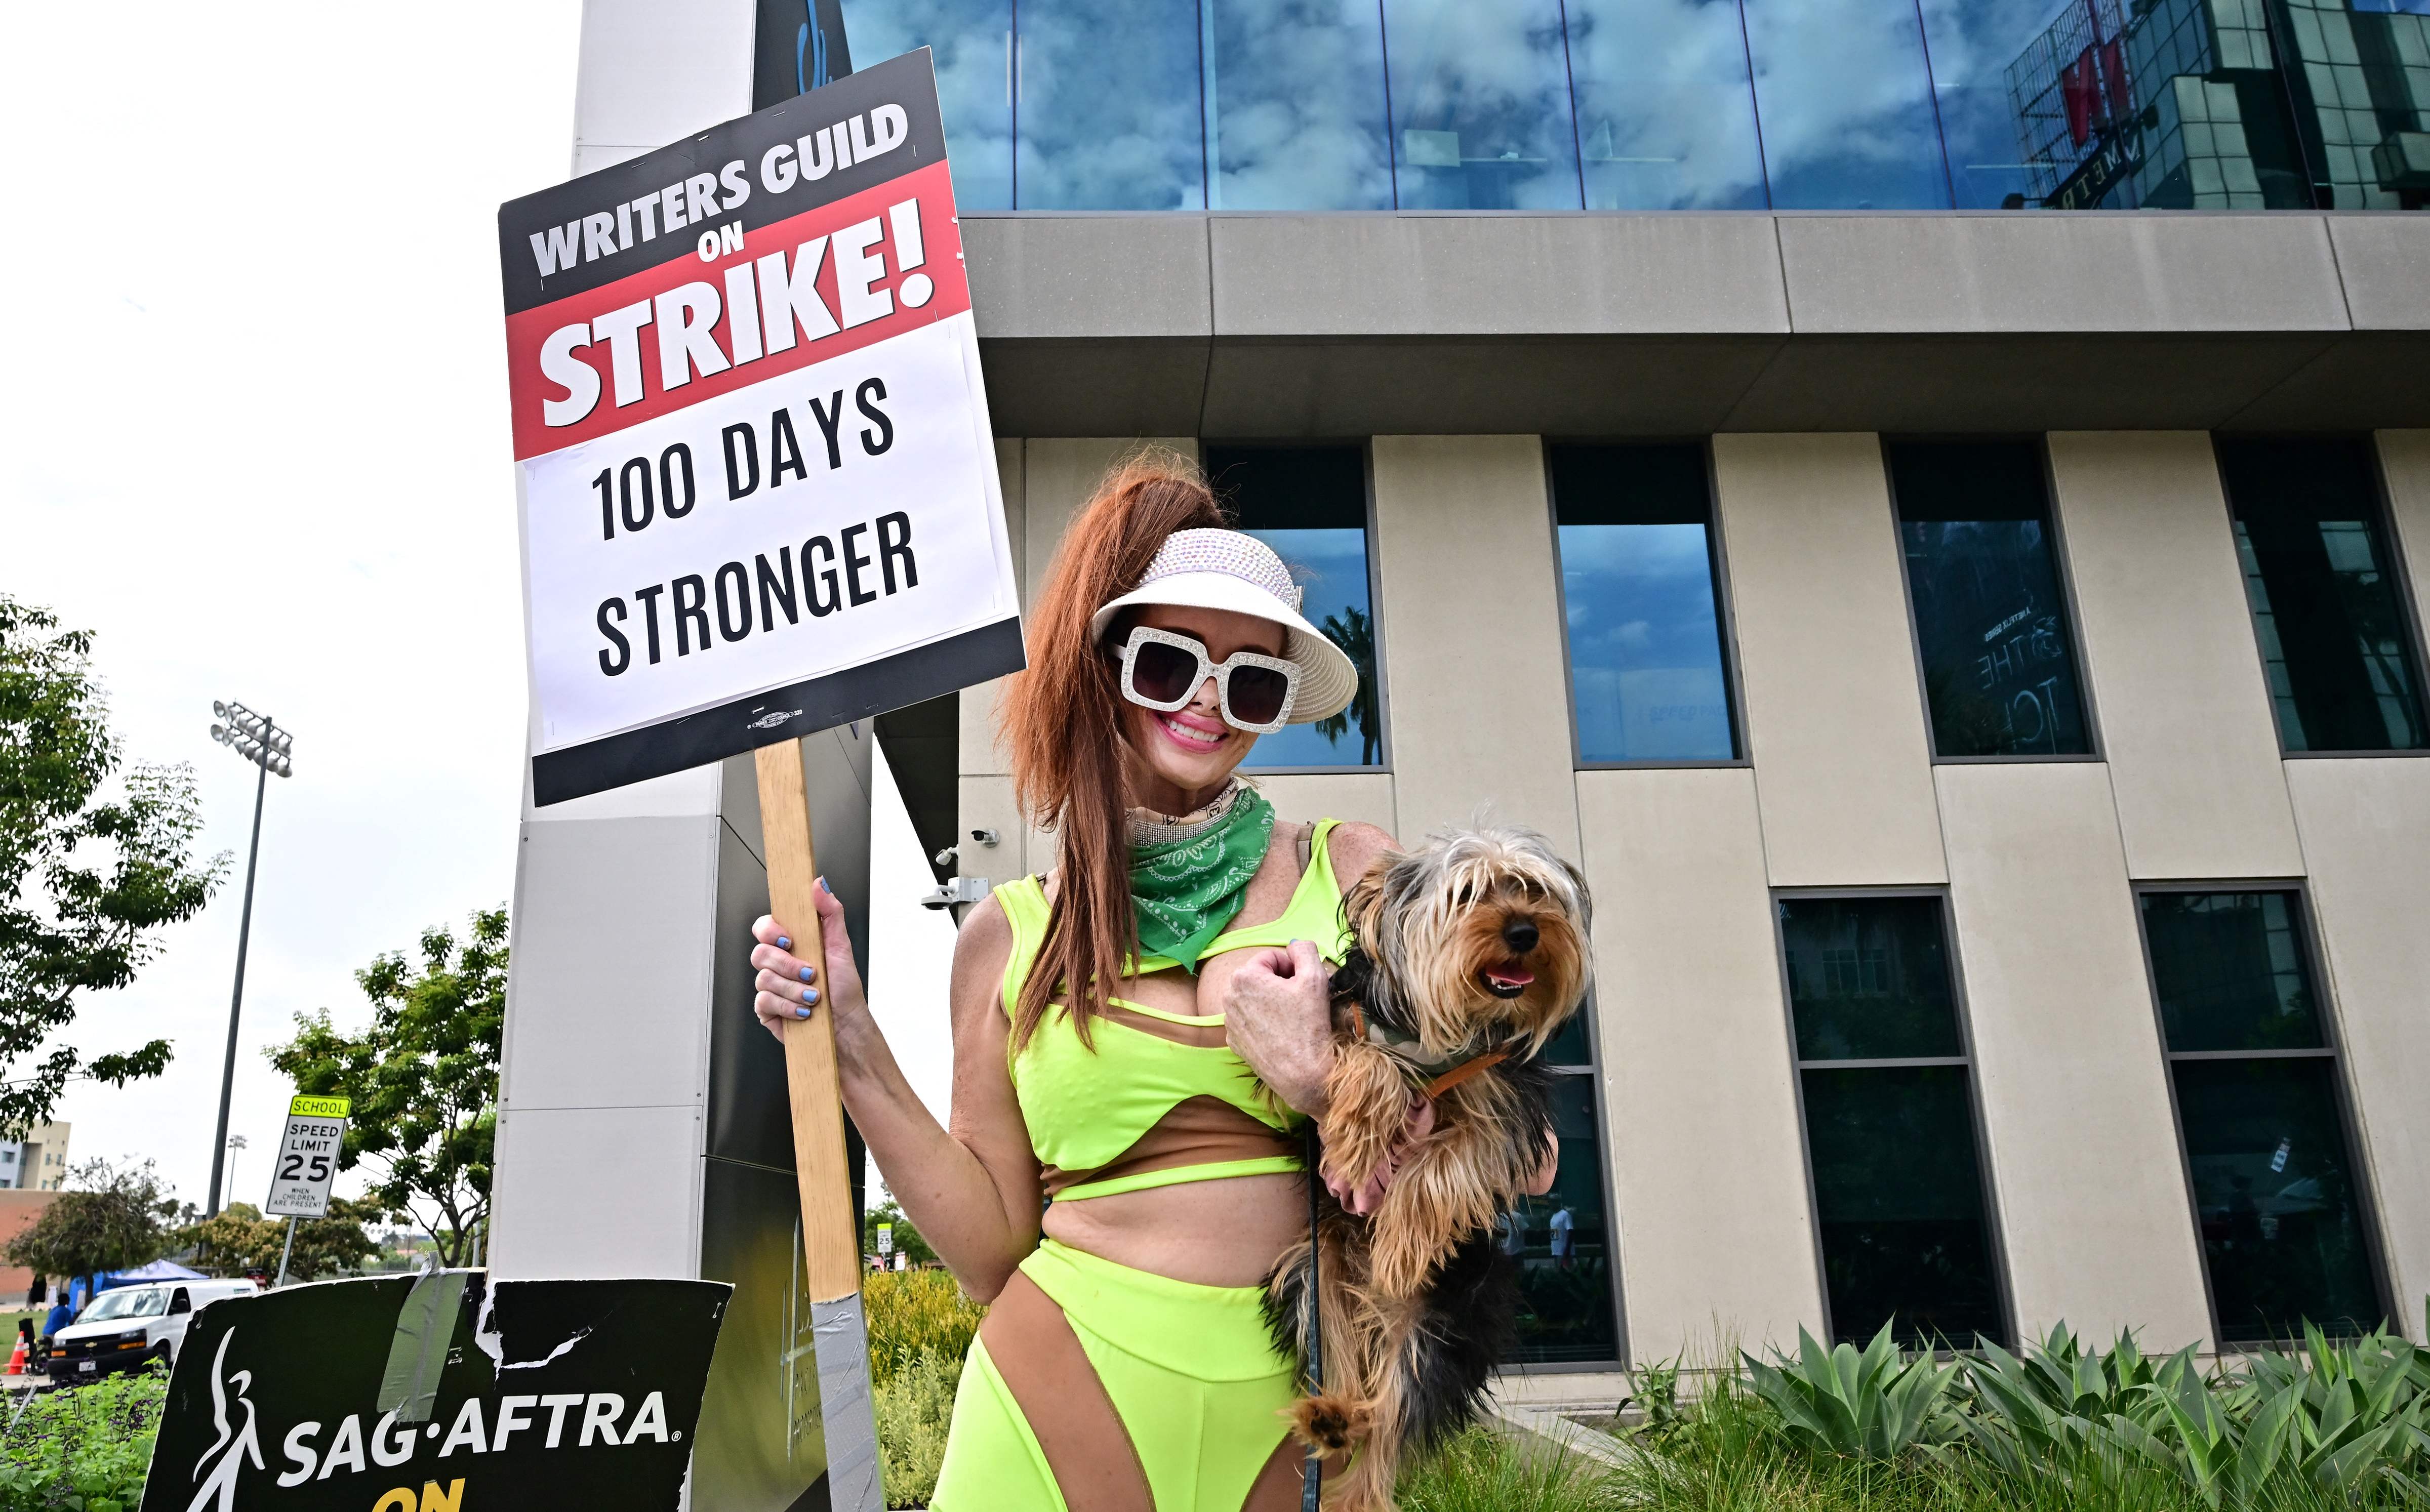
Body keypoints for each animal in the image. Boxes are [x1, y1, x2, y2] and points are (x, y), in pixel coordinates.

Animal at [1273, 831, 1594, 1512]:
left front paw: (1399, 1246)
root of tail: (1379, 1315)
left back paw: (1359, 1475)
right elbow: (1363, 1057)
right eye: (1466, 894)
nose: (1525, 931)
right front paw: (1360, 1136)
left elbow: (1454, 1159)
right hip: (1314, 1277)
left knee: (1391, 1418)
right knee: (1339, 1353)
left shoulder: (1505, 1101)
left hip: (1445, 1320)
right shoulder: (1341, 1024)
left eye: (1535, 890)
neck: (1444, 1026)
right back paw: (1331, 1414)